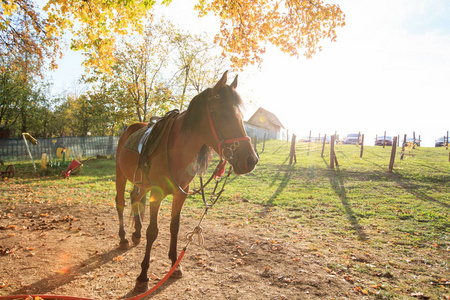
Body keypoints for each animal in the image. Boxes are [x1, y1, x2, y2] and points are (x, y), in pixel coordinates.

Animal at [114, 71, 258, 292]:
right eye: (224, 115)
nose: (251, 160)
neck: (176, 149)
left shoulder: (180, 194)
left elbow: (175, 228)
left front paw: (176, 265)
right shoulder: (157, 194)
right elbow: (153, 232)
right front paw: (143, 276)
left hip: (142, 184)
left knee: (135, 198)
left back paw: (135, 233)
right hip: (121, 176)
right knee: (121, 203)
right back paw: (122, 238)